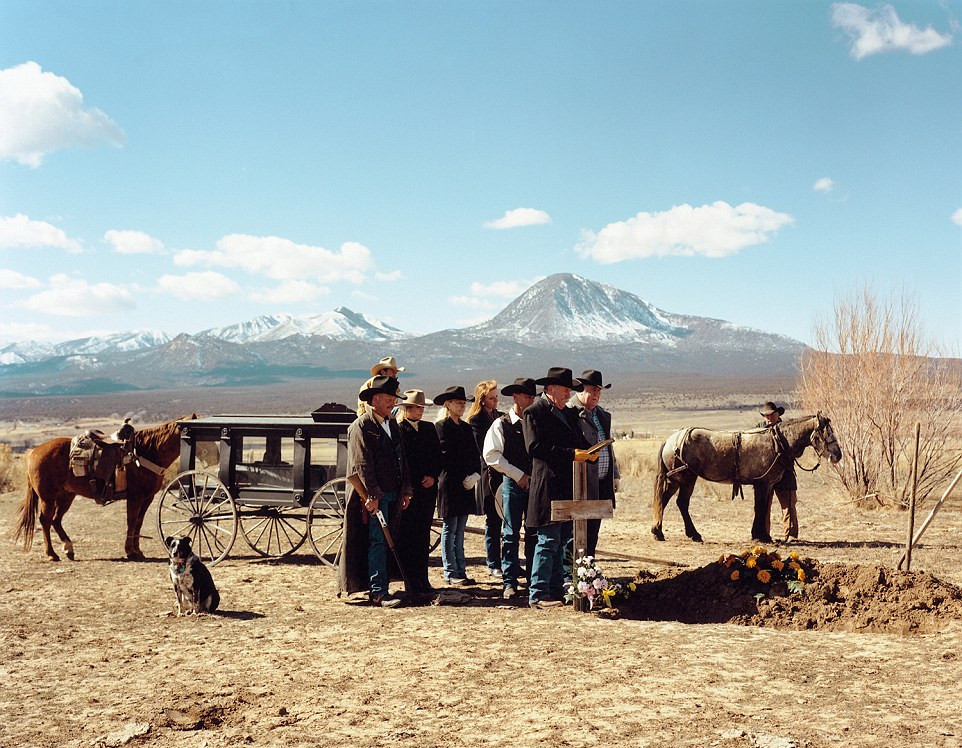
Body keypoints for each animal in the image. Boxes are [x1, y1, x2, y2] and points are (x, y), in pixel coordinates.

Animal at [15, 414, 195, 560]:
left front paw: (137, 551)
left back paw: (69, 548)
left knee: (56, 520)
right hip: (48, 497)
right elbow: (132, 521)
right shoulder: (135, 497)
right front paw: (130, 551)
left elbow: (139, 522)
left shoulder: (147, 498)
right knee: (45, 521)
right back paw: (52, 554)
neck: (147, 452)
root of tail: (33, 452)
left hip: (66, 496)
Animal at [648, 414, 836, 544]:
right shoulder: (762, 484)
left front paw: (760, 535)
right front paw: (762, 536)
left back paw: (658, 532)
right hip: (687, 479)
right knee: (681, 503)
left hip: (675, 480)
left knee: (664, 500)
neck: (776, 442)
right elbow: (760, 508)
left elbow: (761, 508)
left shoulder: (765, 485)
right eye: (825, 433)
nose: (837, 455)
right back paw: (693, 534)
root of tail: (669, 440)